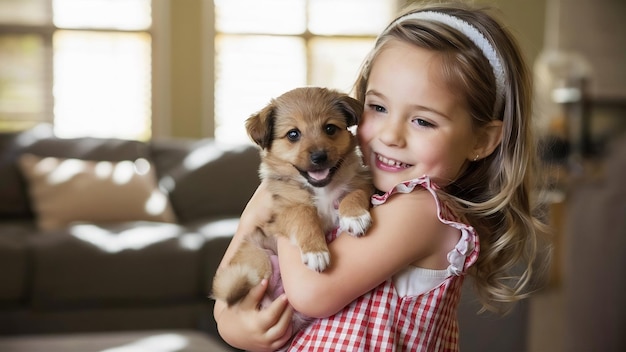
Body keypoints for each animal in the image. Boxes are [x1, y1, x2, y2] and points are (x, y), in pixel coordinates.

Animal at [212, 86, 372, 310]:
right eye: (293, 134)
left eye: (330, 128)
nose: (319, 157)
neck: (321, 188)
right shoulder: (283, 212)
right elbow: (305, 213)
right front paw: (316, 252)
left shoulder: (363, 182)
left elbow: (354, 193)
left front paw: (355, 217)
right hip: (258, 258)